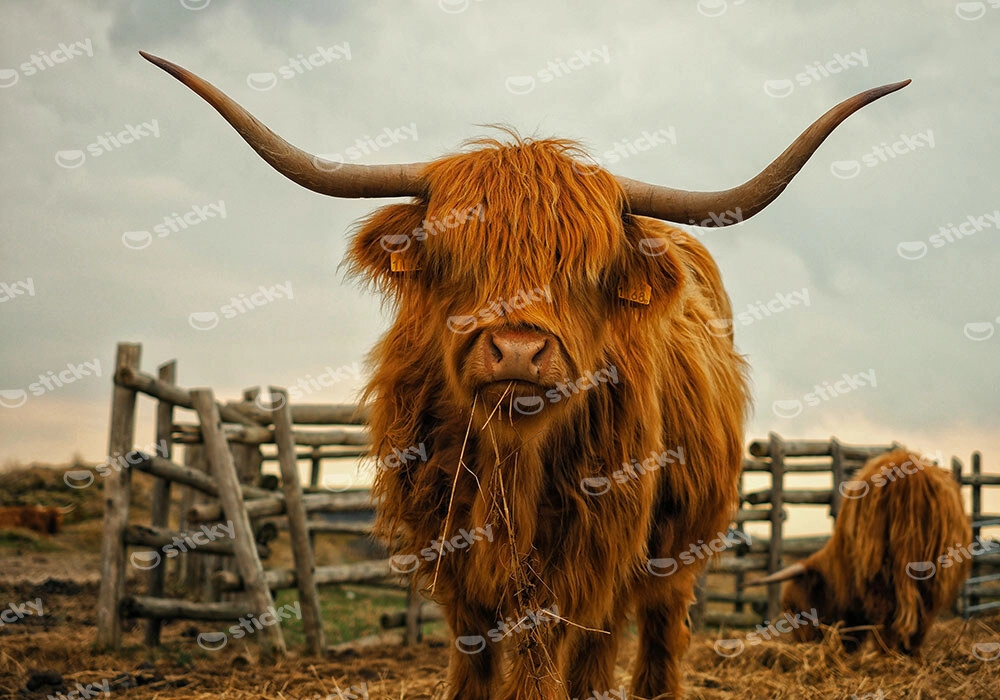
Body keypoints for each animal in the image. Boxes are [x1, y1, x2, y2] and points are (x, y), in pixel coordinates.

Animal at [140, 51, 908, 699]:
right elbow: (476, 652)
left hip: (676, 542)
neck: (511, 462)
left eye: (587, 271)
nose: (515, 351)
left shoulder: (586, 551)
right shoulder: (451, 551)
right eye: (455, 256)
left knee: (652, 631)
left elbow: (551, 654)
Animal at [748, 449, 971, 656]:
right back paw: (908, 654)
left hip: (881, 570)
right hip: (933, 571)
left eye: (797, 611)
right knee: (922, 614)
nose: (803, 644)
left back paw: (885, 653)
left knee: (888, 612)